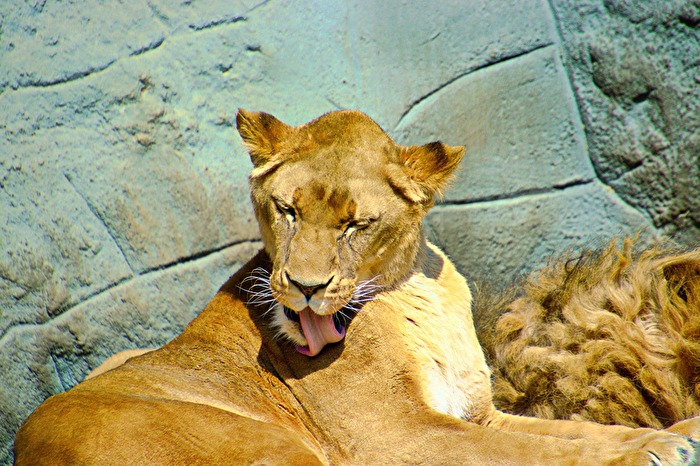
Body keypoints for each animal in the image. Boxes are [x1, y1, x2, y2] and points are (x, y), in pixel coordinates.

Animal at [14, 109, 700, 465]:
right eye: (287, 210)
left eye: (354, 224)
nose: (304, 287)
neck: (416, 294)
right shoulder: (397, 436)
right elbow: (537, 456)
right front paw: (641, 455)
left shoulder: (480, 413)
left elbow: (573, 433)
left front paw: (672, 436)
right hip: (275, 451)